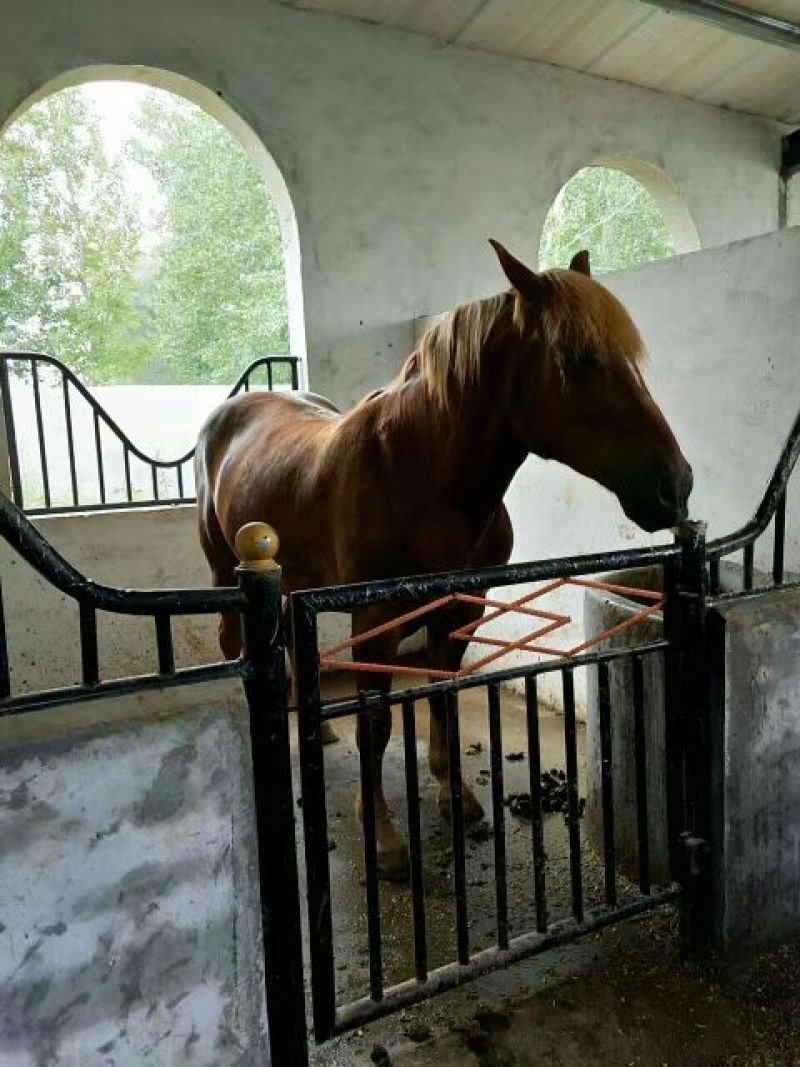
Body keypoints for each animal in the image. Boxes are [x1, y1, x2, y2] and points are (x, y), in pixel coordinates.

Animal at [195, 240, 692, 880]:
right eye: (579, 358)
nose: (675, 486)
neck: (421, 475)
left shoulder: (461, 608)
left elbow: (443, 698)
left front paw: (454, 795)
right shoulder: (375, 617)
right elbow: (377, 721)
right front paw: (382, 837)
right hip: (224, 570)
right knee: (233, 639)